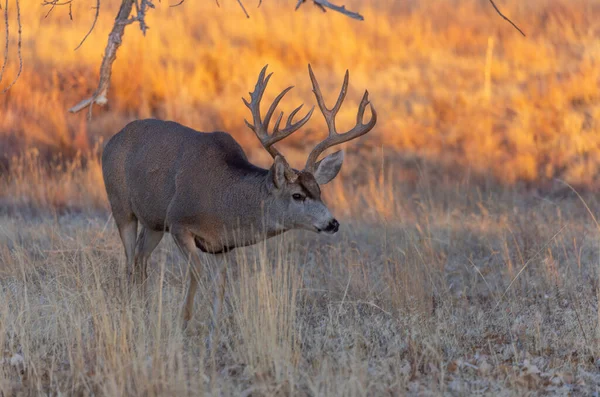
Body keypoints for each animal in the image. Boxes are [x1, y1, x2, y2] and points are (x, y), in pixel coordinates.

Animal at [101, 63, 378, 328]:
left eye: (319, 191)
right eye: (297, 195)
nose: (332, 223)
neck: (224, 200)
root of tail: (111, 141)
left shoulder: (222, 246)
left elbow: (221, 285)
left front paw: (213, 332)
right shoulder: (178, 221)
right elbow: (196, 272)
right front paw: (184, 323)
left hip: (153, 222)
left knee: (140, 258)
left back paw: (143, 306)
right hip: (121, 205)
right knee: (129, 259)